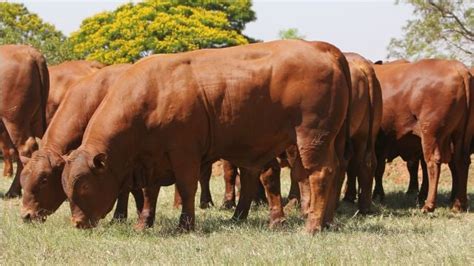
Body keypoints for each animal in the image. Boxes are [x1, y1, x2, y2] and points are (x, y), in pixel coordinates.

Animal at [61, 39, 350, 233]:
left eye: (83, 186)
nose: (77, 223)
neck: (152, 94)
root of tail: (322, 48)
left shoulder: (184, 153)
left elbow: (187, 187)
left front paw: (185, 225)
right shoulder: (152, 160)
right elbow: (150, 192)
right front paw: (143, 223)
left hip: (311, 138)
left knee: (320, 174)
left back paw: (312, 226)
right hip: (329, 140)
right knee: (334, 171)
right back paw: (324, 221)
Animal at [372, 59, 472, 213]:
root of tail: (459, 69)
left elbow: (376, 169)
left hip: (430, 134)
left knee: (432, 163)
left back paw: (429, 205)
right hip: (460, 136)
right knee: (461, 161)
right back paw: (458, 204)